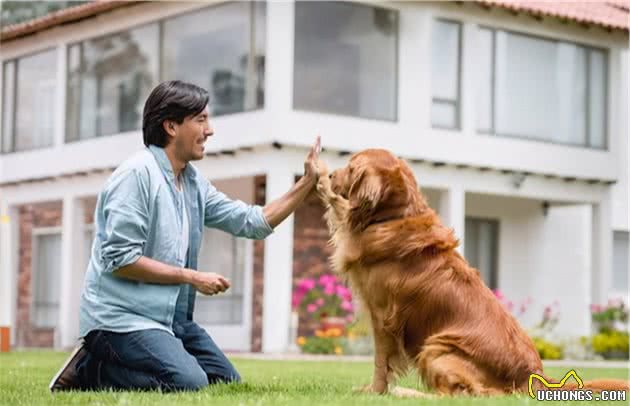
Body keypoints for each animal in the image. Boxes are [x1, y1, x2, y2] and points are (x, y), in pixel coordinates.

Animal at [318, 148, 628, 396]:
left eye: (351, 167)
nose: (331, 175)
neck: (394, 217)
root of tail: (534, 375)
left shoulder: (383, 317)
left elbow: (381, 363)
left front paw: (375, 391)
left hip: (437, 347)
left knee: (462, 394)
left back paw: (407, 393)